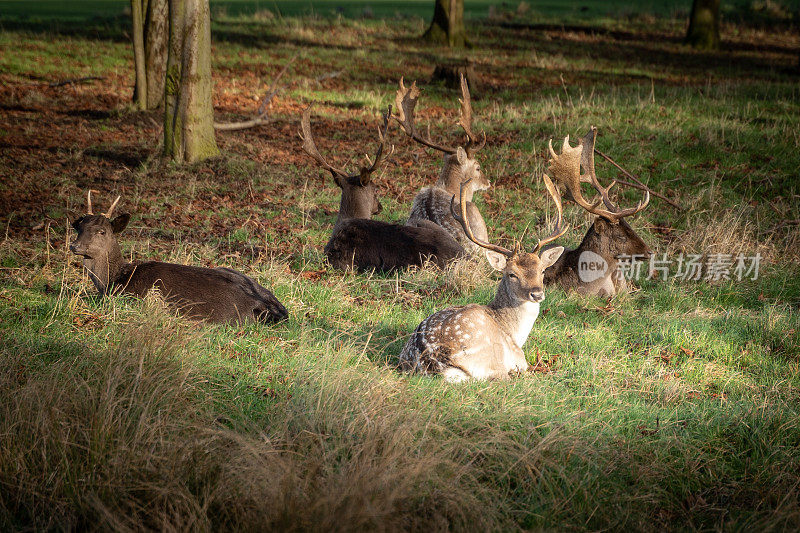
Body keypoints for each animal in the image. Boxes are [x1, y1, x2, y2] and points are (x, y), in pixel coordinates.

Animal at [396, 176, 564, 382]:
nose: (537, 294)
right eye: (512, 274)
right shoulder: (518, 359)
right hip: (492, 358)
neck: (515, 332)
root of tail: (431, 359)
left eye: (542, 271)